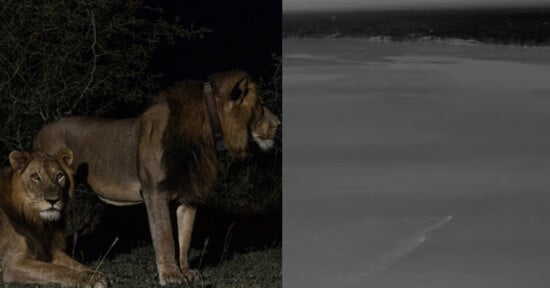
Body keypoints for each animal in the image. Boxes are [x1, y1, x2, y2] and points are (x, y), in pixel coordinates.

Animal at [0, 150, 112, 286]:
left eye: (59, 176)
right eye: (35, 177)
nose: (53, 200)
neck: (38, 222)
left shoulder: (51, 250)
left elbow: (76, 264)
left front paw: (100, 275)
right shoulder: (13, 264)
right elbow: (57, 269)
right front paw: (91, 280)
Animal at [34, 71, 282, 284]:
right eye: (260, 106)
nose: (279, 123)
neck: (205, 136)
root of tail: (41, 132)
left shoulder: (188, 195)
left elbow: (184, 237)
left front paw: (187, 272)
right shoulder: (154, 192)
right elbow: (165, 237)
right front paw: (171, 275)